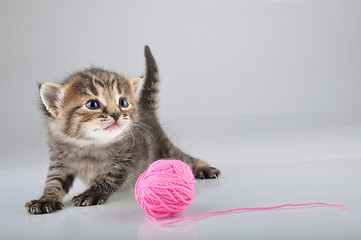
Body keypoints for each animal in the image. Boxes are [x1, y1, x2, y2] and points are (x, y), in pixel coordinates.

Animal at [25, 46, 219, 215]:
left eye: (123, 102)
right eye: (92, 104)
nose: (116, 114)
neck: (90, 145)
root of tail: (146, 110)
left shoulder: (125, 160)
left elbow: (107, 178)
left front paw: (91, 193)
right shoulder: (58, 160)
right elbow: (54, 181)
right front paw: (46, 199)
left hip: (164, 150)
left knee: (184, 158)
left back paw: (205, 168)